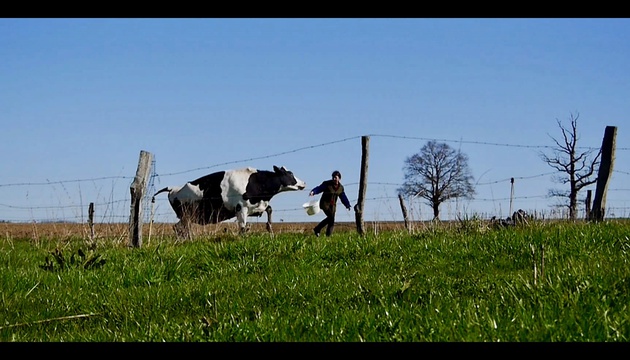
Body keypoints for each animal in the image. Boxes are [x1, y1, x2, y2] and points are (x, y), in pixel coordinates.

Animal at [153, 167, 306, 239]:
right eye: (290, 174)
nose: (304, 183)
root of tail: (173, 188)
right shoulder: (241, 207)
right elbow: (242, 227)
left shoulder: (256, 205)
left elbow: (269, 209)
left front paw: (269, 227)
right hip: (186, 215)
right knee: (180, 228)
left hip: (187, 217)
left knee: (178, 227)